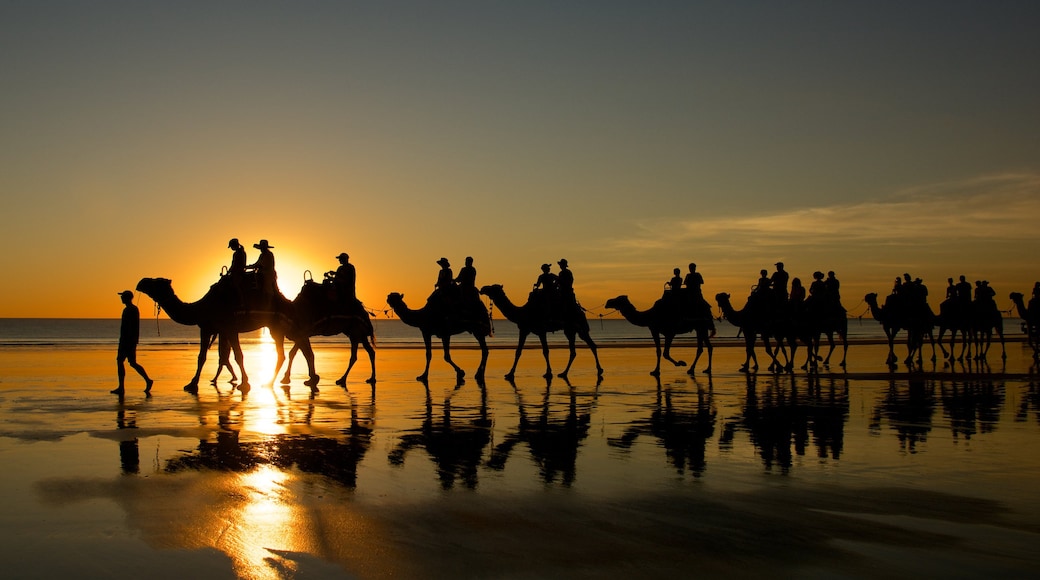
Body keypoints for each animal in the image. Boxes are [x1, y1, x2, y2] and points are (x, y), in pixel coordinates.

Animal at [138, 276, 316, 392]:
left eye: (156, 282)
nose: (141, 282)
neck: (201, 307)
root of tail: (289, 302)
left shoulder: (229, 328)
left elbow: (238, 355)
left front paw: (244, 383)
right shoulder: (207, 329)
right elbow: (201, 357)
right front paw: (192, 384)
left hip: (282, 325)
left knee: (301, 345)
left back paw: (307, 379)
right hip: (276, 328)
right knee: (291, 350)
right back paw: (282, 381)